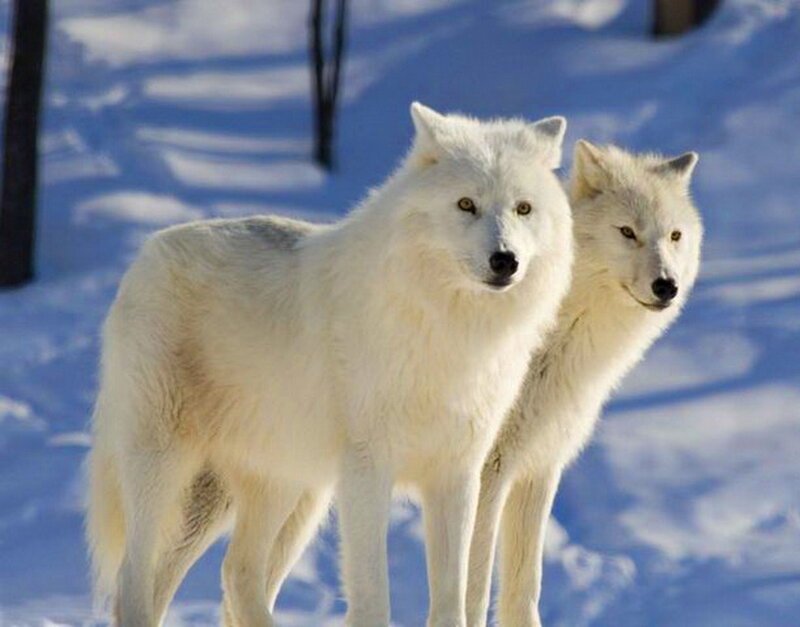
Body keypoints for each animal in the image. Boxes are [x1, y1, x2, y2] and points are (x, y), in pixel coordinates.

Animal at [86, 103, 575, 626]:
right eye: (466, 204)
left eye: (523, 209)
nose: (505, 260)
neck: (449, 329)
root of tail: (148, 250)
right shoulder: (368, 472)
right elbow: (373, 597)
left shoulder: (458, 475)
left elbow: (451, 599)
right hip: (168, 467)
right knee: (133, 579)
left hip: (286, 487)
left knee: (236, 572)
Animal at [464, 141, 703, 627]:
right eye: (627, 232)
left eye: (674, 236)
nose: (666, 286)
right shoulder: (486, 472)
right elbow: (474, 591)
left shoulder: (537, 467)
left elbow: (524, 590)